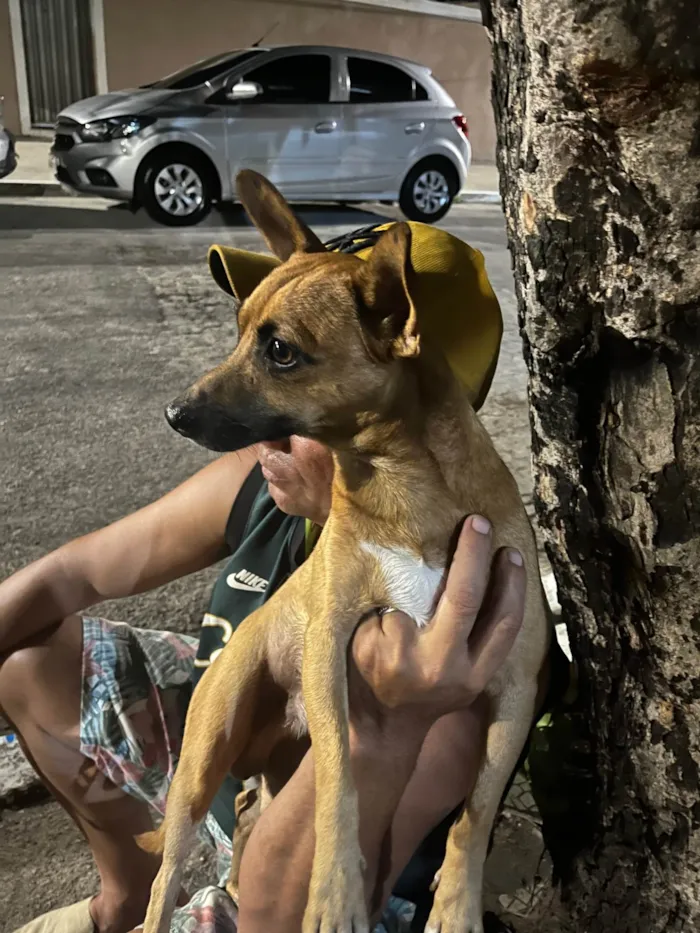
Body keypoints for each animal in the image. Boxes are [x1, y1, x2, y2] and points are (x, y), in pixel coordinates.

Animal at [139, 169, 548, 932]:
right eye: (238, 331)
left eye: (280, 350)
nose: (173, 413)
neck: (400, 485)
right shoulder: (331, 654)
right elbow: (341, 782)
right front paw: (334, 890)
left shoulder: (514, 690)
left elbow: (474, 812)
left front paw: (456, 903)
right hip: (200, 763)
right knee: (166, 875)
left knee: (249, 817)